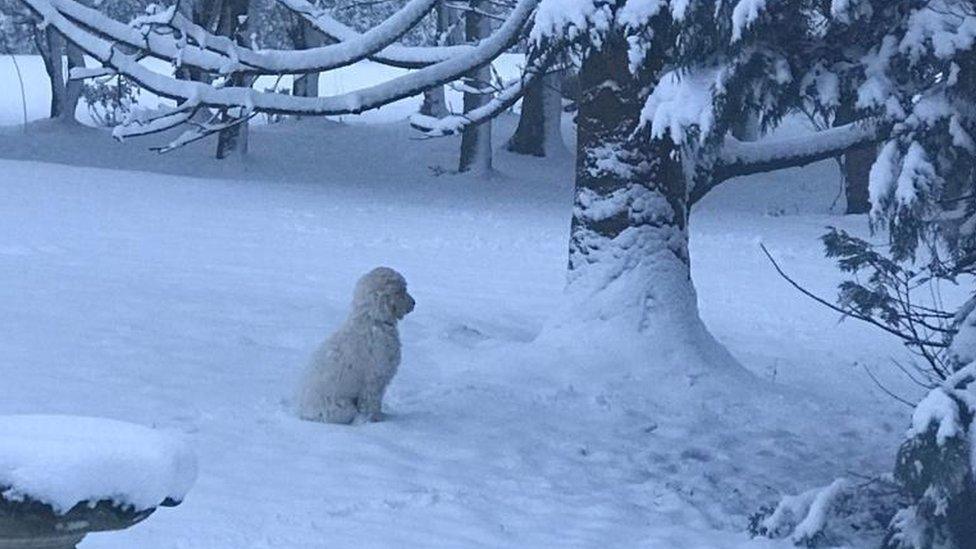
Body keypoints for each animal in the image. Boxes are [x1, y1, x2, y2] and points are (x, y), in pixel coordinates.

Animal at [302, 266, 416, 424]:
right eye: (401, 290)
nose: (414, 303)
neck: (373, 320)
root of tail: (303, 413)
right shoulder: (374, 381)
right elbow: (371, 405)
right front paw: (375, 421)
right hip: (342, 408)